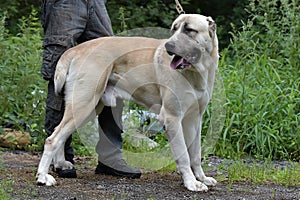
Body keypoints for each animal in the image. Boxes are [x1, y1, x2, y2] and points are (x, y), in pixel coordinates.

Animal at [37, 14, 220, 192]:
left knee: (60, 133)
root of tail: (75, 49)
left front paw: (202, 178)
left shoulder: (194, 119)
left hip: (90, 107)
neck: (196, 71)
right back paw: (43, 177)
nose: (168, 45)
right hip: (84, 104)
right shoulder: (172, 117)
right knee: (52, 139)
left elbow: (195, 154)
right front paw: (191, 183)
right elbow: (183, 155)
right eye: (174, 29)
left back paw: (60, 164)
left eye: (189, 30)